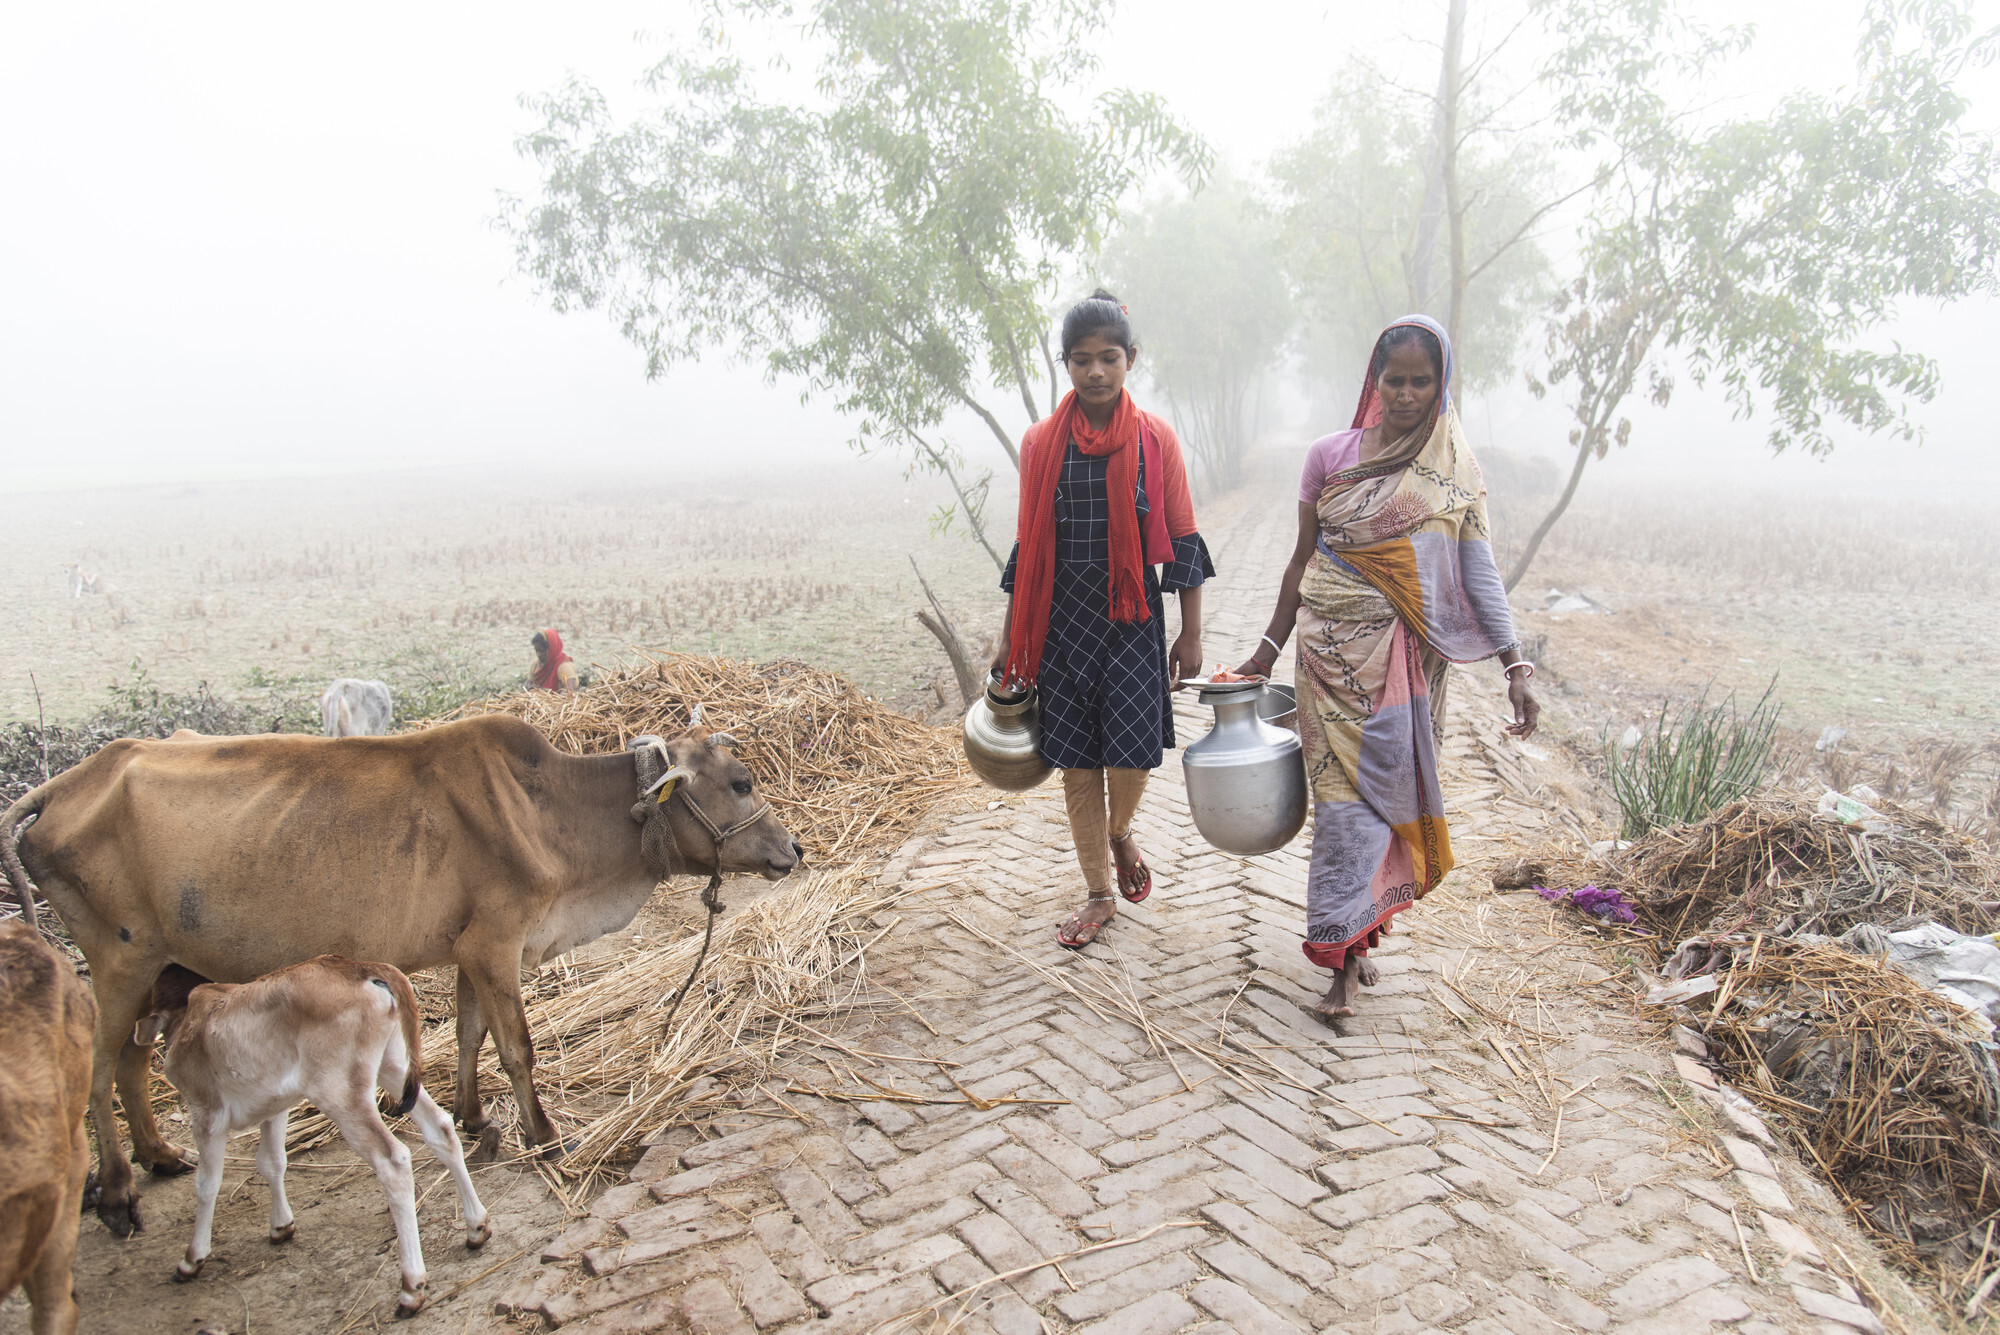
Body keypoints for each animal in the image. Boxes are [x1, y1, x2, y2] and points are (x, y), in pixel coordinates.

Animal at [0, 715, 796, 1239]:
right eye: (740, 780)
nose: (792, 847)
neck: (552, 810)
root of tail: (63, 784)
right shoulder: (497, 941)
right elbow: (518, 1046)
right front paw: (544, 1135)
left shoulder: (471, 948)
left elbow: (474, 1035)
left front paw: (476, 1120)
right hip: (119, 960)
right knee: (97, 1071)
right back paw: (116, 1194)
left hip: (161, 967)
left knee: (131, 1066)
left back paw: (160, 1156)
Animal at [142, 955, 492, 1319]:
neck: (190, 1016)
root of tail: (361, 968)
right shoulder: (275, 1106)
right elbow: (272, 1162)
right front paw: (281, 1226)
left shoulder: (206, 1112)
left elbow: (206, 1184)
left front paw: (192, 1258)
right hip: (394, 1066)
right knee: (441, 1127)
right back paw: (476, 1226)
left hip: (339, 1092)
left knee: (393, 1161)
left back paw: (411, 1286)